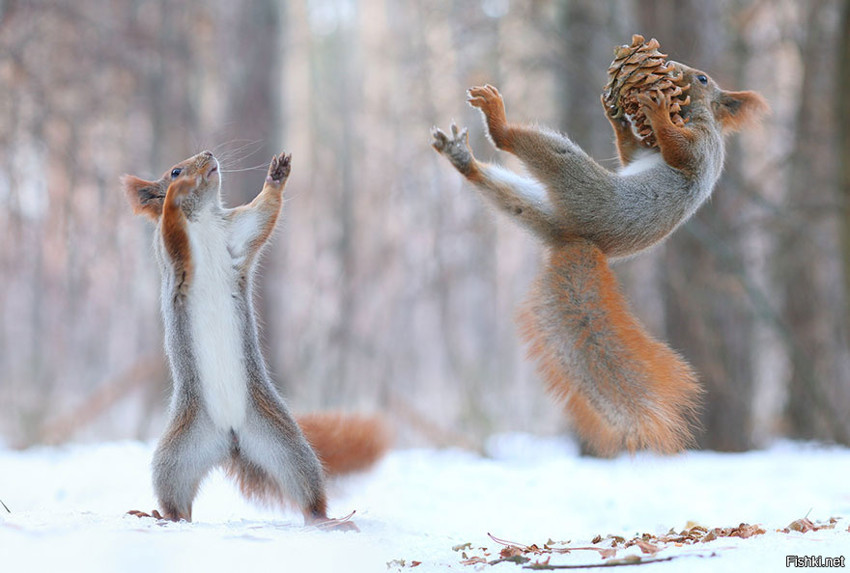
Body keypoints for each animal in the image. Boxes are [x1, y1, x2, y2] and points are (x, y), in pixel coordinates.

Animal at [122, 151, 388, 524]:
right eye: (174, 171)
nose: (209, 155)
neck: (203, 219)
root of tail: (230, 439)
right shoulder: (172, 253)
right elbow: (173, 230)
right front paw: (175, 196)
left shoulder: (237, 233)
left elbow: (263, 214)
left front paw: (277, 176)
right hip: (176, 455)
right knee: (177, 502)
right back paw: (160, 516)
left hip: (284, 443)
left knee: (306, 490)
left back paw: (328, 520)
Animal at [430, 59, 768, 452]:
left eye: (701, 79)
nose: (672, 67)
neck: (693, 115)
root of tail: (576, 239)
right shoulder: (644, 152)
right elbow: (629, 153)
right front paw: (618, 117)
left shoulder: (701, 147)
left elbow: (679, 151)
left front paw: (655, 113)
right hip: (533, 207)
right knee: (503, 191)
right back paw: (462, 158)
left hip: (578, 181)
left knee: (518, 144)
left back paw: (496, 120)